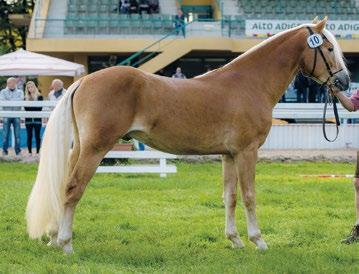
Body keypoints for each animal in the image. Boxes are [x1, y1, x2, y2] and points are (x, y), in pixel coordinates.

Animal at [26, 16, 350, 253]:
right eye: (329, 49)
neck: (248, 83)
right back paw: (66, 244)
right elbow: (249, 196)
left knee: (62, 187)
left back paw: (54, 237)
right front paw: (258, 240)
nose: (344, 82)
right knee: (73, 188)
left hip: (80, 148)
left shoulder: (229, 155)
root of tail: (83, 81)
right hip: (95, 149)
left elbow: (230, 196)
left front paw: (235, 240)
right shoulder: (247, 152)